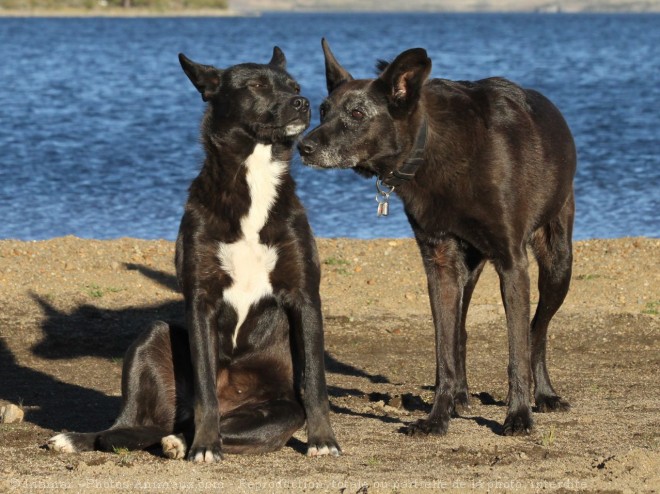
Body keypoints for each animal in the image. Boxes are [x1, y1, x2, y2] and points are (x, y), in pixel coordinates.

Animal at [47, 46, 340, 460]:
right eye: (255, 85)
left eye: (295, 86)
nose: (303, 103)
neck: (253, 180)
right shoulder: (201, 298)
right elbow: (205, 388)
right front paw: (204, 446)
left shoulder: (304, 295)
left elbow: (315, 378)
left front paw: (323, 441)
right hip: (152, 337)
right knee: (130, 425)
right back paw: (86, 438)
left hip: (280, 414)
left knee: (202, 430)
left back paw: (181, 440)